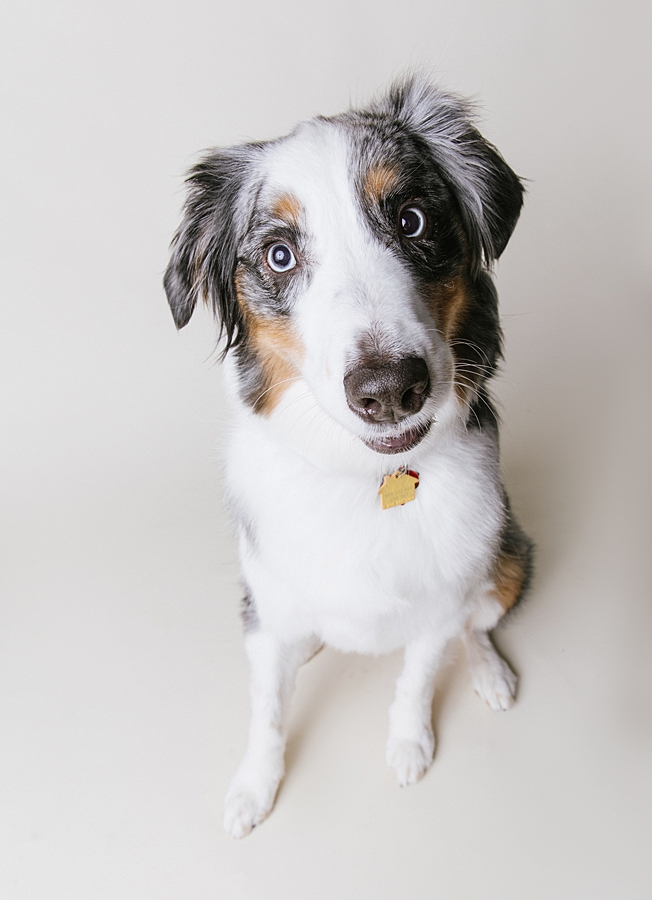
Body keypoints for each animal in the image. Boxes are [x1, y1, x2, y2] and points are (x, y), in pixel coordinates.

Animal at [164, 75, 536, 836]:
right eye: (279, 255)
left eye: (413, 221)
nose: (390, 389)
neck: (368, 479)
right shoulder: (267, 603)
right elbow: (267, 710)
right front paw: (255, 786)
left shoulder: (442, 600)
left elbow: (418, 678)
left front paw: (409, 744)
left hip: (509, 557)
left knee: (479, 624)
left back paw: (488, 670)